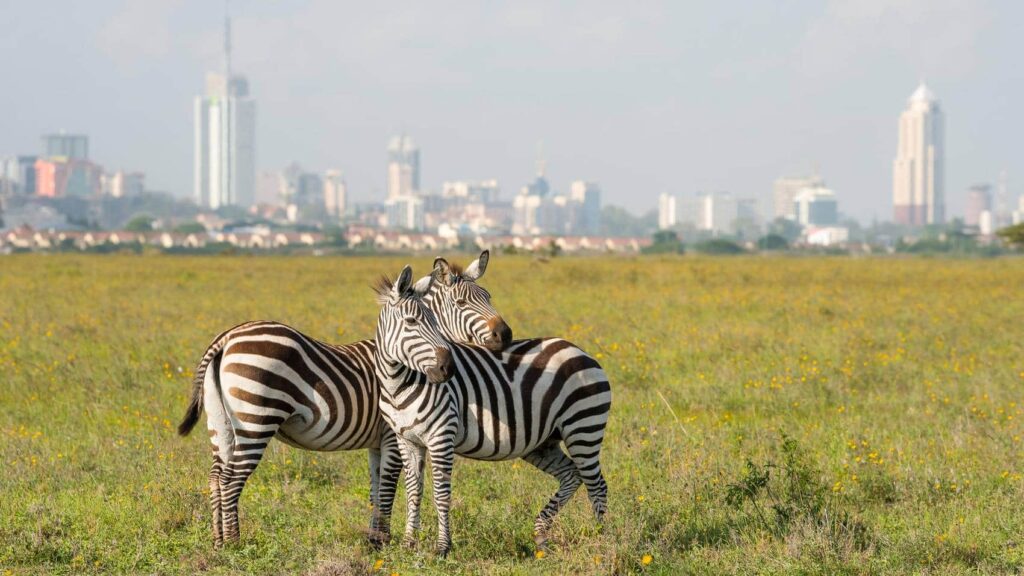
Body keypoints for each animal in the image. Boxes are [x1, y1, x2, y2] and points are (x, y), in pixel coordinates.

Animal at [176, 252, 508, 548]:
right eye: (462, 303)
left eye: (489, 296)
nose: (505, 334)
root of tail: (226, 338)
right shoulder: (391, 435)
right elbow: (388, 487)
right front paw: (383, 541)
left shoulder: (377, 442)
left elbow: (376, 488)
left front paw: (374, 539)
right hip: (256, 419)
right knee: (231, 479)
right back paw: (234, 543)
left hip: (220, 422)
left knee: (216, 476)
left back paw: (218, 540)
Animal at [373, 268, 612, 557]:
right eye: (411, 321)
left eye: (434, 322)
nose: (447, 368)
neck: (399, 385)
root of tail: (581, 351)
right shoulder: (406, 440)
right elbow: (413, 491)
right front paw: (409, 544)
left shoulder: (441, 437)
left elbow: (441, 493)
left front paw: (442, 547)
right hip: (543, 442)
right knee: (572, 475)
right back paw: (541, 535)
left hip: (583, 427)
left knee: (596, 485)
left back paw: (601, 540)